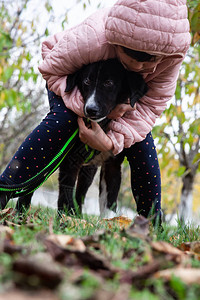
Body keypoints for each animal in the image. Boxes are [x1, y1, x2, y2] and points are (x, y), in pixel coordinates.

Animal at [14, 58, 148, 216]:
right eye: (86, 81)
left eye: (109, 83)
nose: (91, 109)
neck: (101, 126)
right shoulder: (70, 161)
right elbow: (66, 194)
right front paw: (65, 218)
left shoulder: (113, 164)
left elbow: (110, 202)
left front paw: (108, 220)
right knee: (32, 184)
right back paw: (20, 212)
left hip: (89, 170)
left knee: (80, 193)